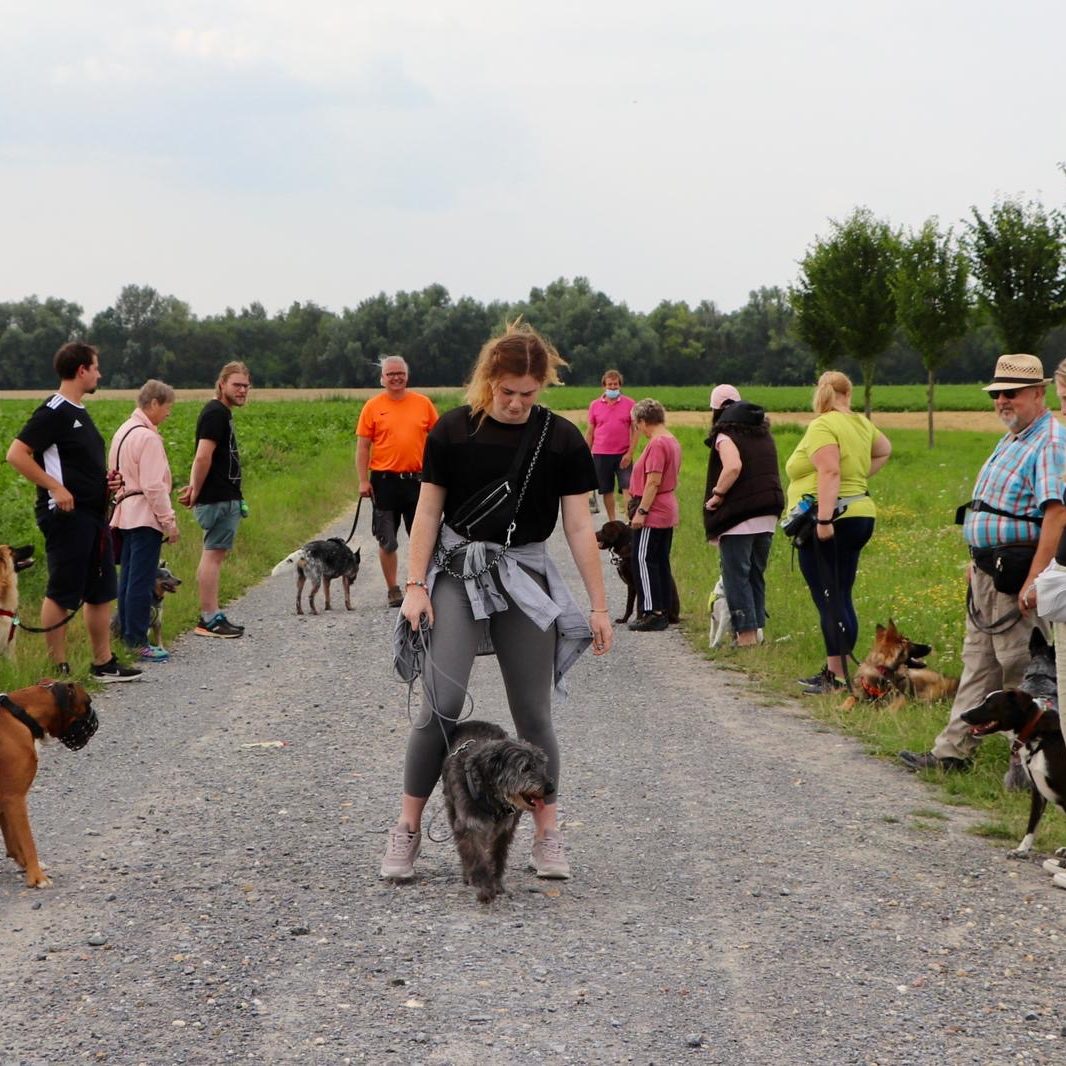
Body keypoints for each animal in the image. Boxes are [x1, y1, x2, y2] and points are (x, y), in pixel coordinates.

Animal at [0, 677, 99, 886]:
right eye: (88, 703)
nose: (95, 720)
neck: (20, 715)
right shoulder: (15, 798)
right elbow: (27, 840)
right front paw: (37, 877)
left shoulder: (4, 800)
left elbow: (12, 840)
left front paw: (25, 865)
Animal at [441, 720, 558, 903]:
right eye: (525, 768)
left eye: (541, 764)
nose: (550, 788)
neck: (492, 796)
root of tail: (472, 721)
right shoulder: (469, 827)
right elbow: (477, 859)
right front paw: (485, 888)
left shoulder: (504, 831)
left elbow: (497, 857)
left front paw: (495, 883)